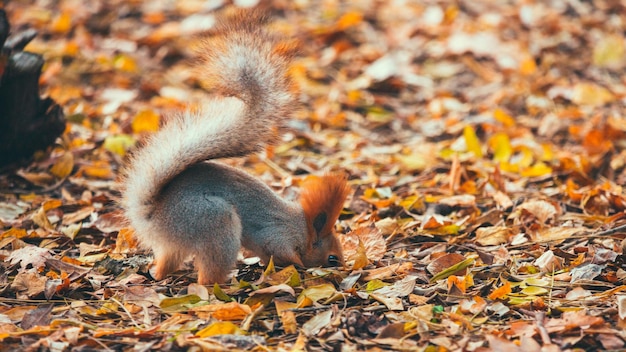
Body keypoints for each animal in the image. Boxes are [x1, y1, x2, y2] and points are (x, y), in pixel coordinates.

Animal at [119, 10, 348, 286]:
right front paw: (299, 265)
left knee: (167, 264)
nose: (345, 268)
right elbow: (282, 251)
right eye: (332, 258)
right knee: (208, 276)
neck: (300, 228)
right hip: (215, 223)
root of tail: (154, 218)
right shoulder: (276, 235)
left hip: (179, 243)